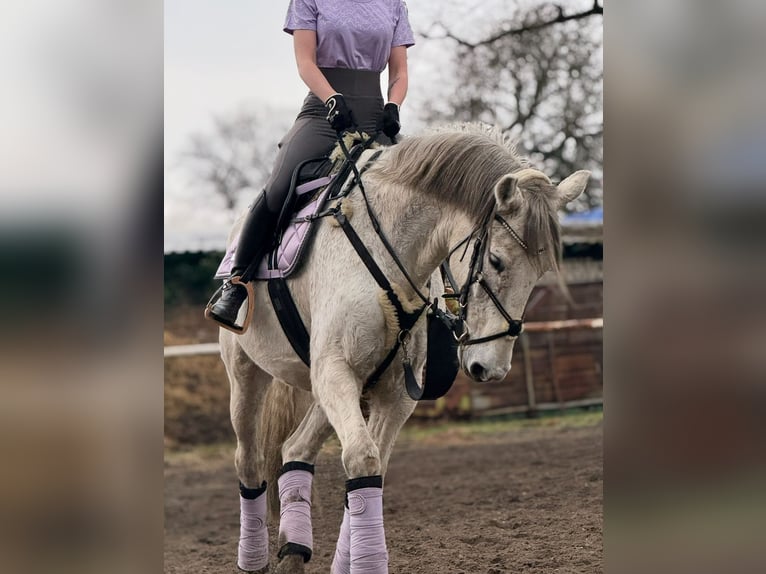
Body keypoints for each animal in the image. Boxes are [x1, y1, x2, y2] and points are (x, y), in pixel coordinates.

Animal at [216, 123, 590, 573]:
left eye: (541, 271)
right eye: (497, 261)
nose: (491, 367)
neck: (389, 249)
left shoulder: (394, 393)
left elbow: (370, 472)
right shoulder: (336, 371)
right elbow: (363, 459)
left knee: (295, 449)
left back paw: (293, 549)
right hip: (248, 374)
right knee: (249, 462)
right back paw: (254, 559)